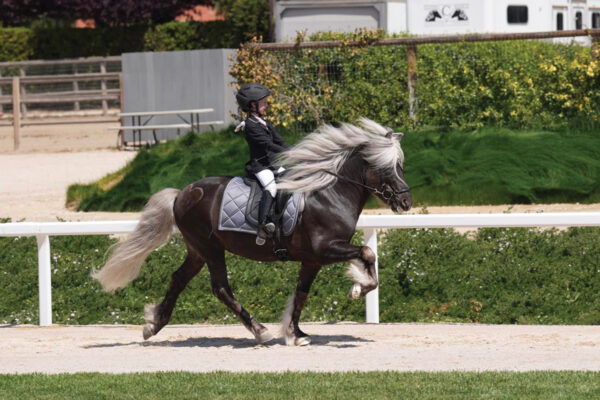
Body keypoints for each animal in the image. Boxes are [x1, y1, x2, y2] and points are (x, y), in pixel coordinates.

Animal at [92, 117, 412, 346]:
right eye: (386, 168)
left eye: (401, 165)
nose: (406, 202)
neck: (328, 194)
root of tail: (182, 193)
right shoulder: (326, 248)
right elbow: (368, 253)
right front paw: (358, 289)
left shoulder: (312, 259)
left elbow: (301, 293)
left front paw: (296, 333)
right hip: (210, 249)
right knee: (221, 288)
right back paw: (259, 331)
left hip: (197, 250)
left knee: (178, 279)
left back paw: (153, 325)